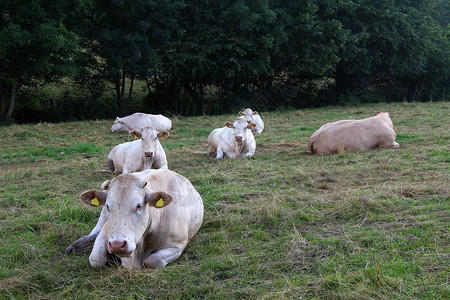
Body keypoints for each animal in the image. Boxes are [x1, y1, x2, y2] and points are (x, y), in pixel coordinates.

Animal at [65, 169, 204, 270]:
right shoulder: (105, 234)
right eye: (108, 206)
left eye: (139, 205)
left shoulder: (178, 245)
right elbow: (95, 259)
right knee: (94, 232)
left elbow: (153, 261)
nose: (117, 245)